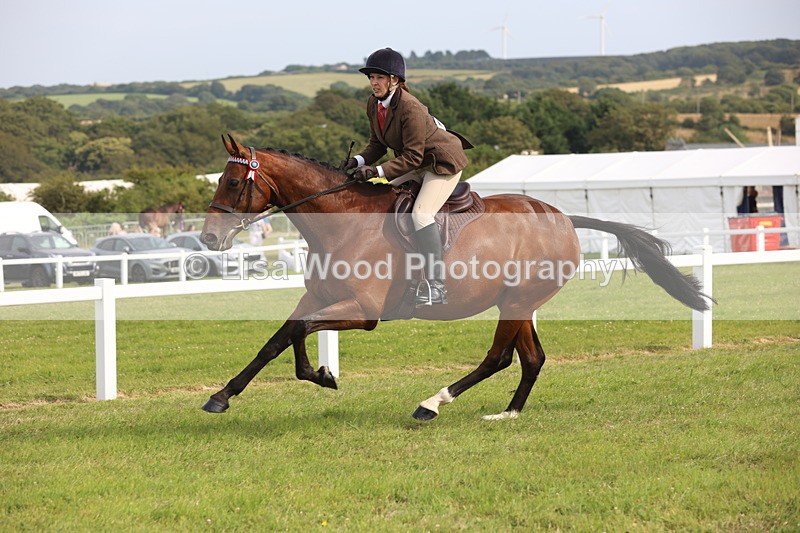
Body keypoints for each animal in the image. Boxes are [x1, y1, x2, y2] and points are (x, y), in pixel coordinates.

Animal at [200, 135, 710, 421]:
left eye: (233, 183)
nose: (207, 238)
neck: (342, 222)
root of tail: (563, 217)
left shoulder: (364, 312)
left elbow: (299, 331)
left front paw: (319, 375)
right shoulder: (319, 298)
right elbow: (281, 337)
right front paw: (226, 395)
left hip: (517, 301)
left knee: (499, 358)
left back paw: (432, 403)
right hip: (517, 302)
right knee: (531, 358)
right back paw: (509, 413)